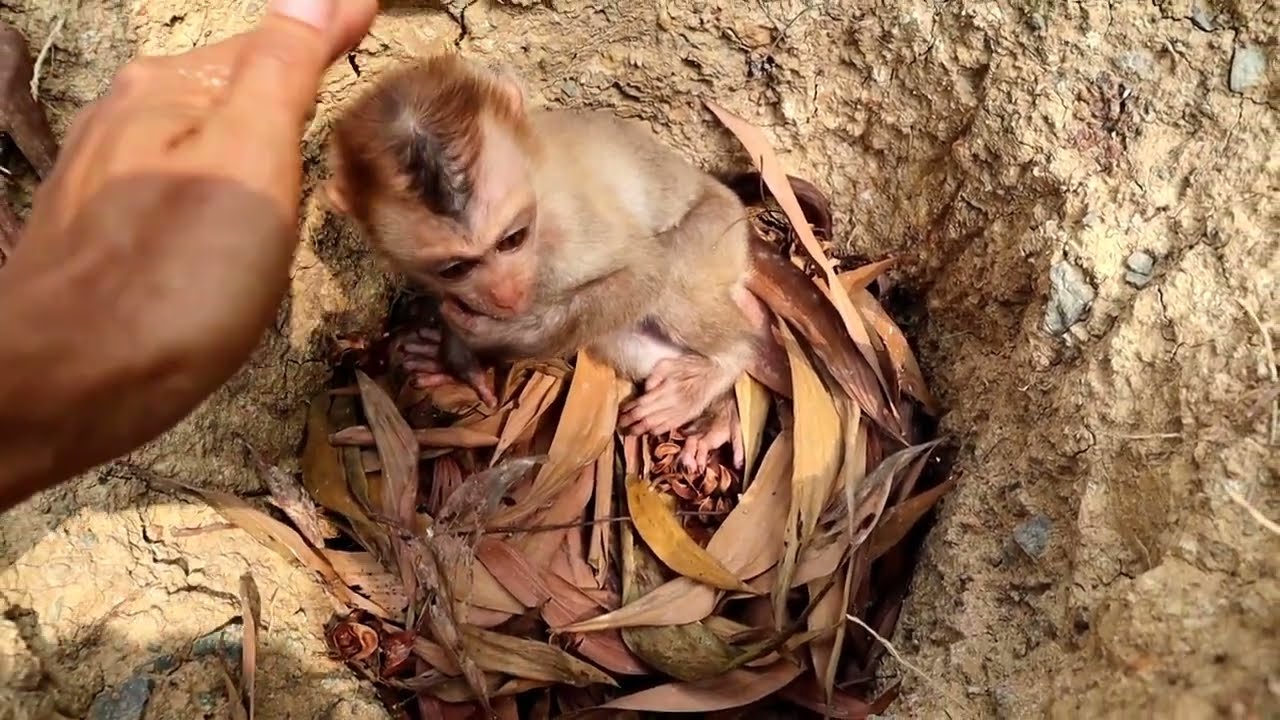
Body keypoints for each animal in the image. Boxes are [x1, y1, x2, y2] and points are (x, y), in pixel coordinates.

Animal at [324, 54, 787, 471]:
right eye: (456, 269)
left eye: (511, 240)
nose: (505, 293)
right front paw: (453, 361)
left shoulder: (568, 223)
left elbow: (643, 275)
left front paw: (494, 338)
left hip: (719, 229)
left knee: (673, 281)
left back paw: (726, 363)